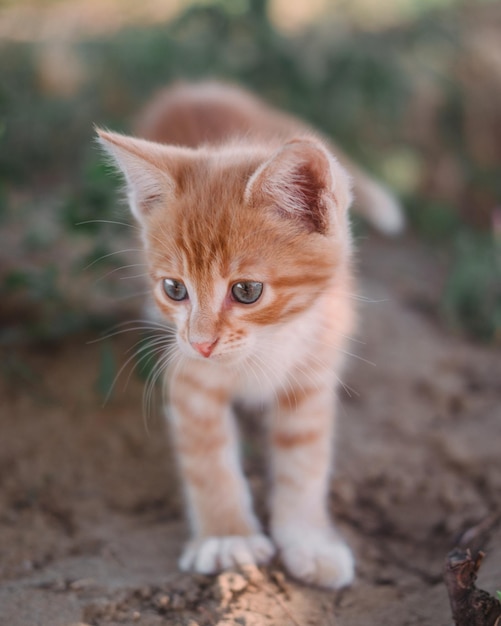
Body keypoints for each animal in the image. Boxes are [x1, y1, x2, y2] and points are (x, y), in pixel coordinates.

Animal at [97, 81, 402, 584]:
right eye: (174, 289)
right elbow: (207, 458)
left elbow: (305, 463)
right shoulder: (189, 376)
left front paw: (308, 540)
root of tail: (195, 90)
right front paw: (228, 538)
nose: (201, 342)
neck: (268, 346)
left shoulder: (314, 373)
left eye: (246, 291)